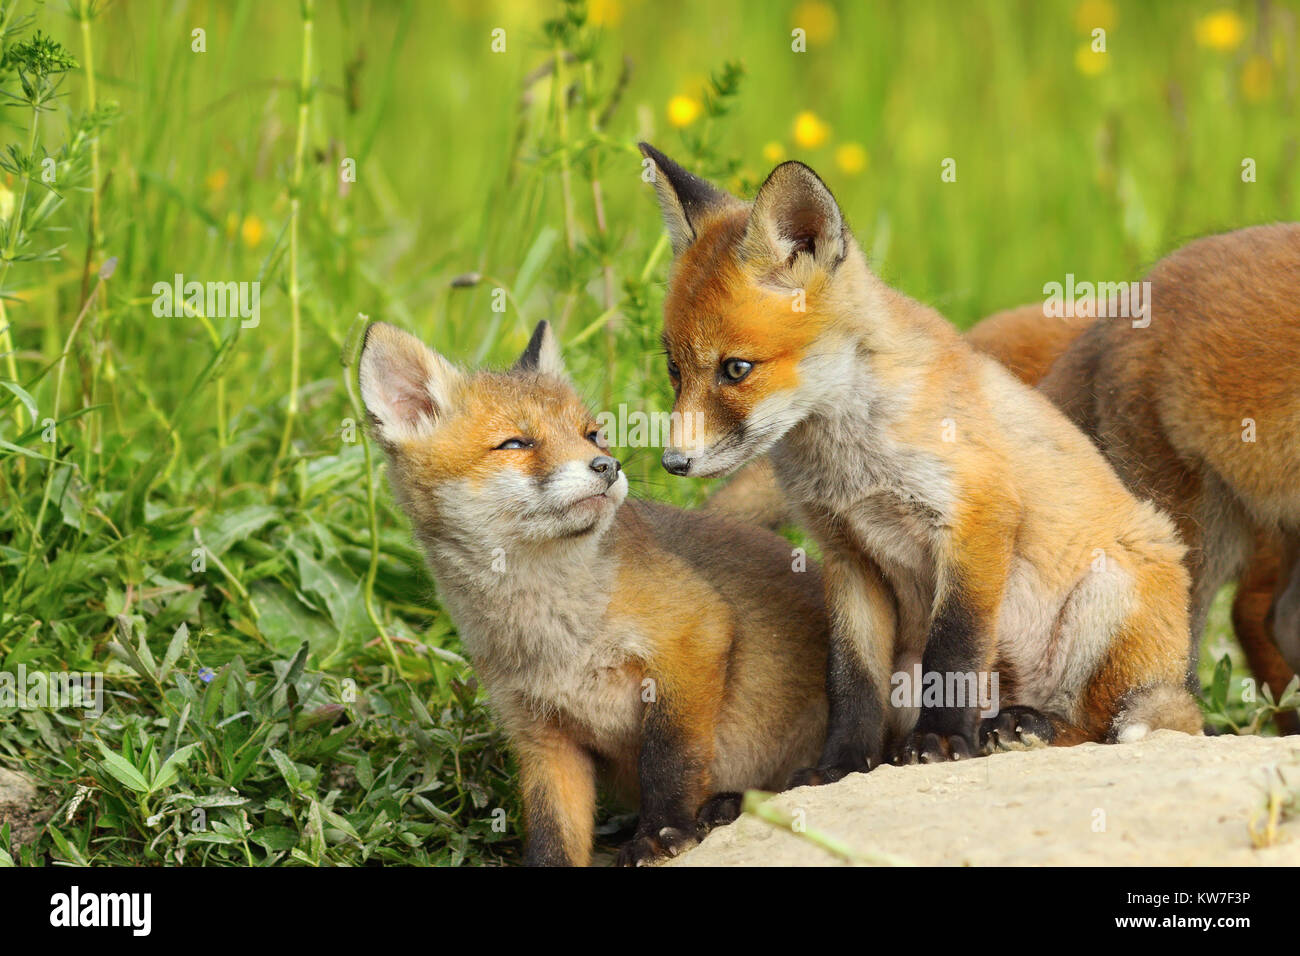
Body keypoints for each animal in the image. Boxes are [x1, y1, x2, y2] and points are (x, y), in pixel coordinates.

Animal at [358, 319, 830, 865]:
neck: (557, 636)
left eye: (592, 435)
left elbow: (669, 759)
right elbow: (552, 826)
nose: (608, 466)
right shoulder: (538, 729)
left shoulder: (694, 633)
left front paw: (662, 833)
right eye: (515, 444)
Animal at [640, 142, 1202, 778]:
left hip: (1107, 594)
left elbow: (954, 651)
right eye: (675, 371)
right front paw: (842, 764)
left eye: (736, 369)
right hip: (912, 668)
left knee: (1097, 726)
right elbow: (851, 681)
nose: (673, 463)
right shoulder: (848, 556)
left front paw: (940, 741)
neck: (850, 462)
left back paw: (1027, 727)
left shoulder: (976, 517)